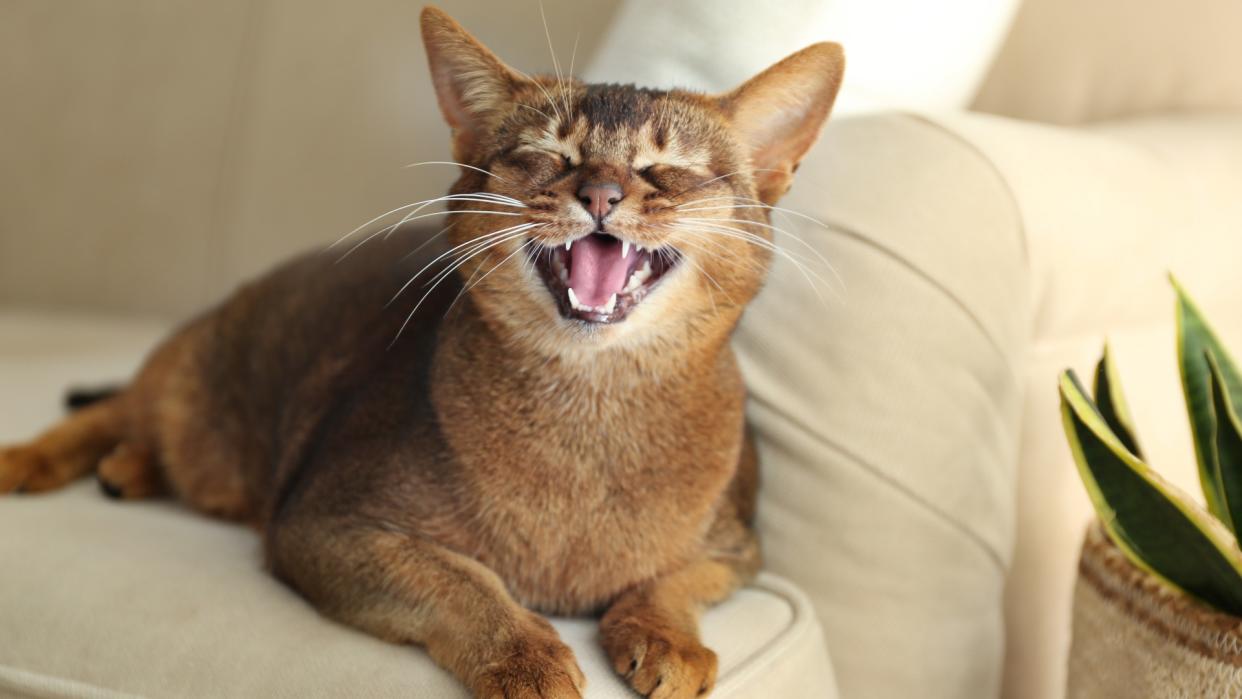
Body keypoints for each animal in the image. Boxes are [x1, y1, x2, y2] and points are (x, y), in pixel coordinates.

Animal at [0, 6, 844, 699]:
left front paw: (666, 635)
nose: (601, 194)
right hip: (193, 370)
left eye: (665, 169)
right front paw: (523, 656)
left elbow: (674, 580)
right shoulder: (323, 523)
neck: (589, 411)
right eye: (548, 155)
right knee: (117, 405)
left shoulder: (742, 549)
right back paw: (37, 459)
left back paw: (131, 470)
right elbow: (458, 578)